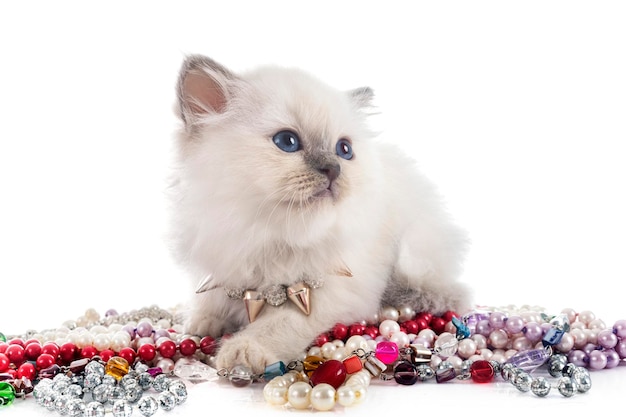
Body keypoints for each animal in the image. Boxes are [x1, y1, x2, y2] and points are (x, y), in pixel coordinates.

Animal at [166, 54, 468, 370]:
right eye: (287, 142)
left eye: (344, 150)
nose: (333, 169)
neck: (269, 234)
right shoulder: (223, 259)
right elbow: (212, 299)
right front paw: (204, 321)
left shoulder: (331, 292)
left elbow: (278, 324)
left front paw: (243, 351)